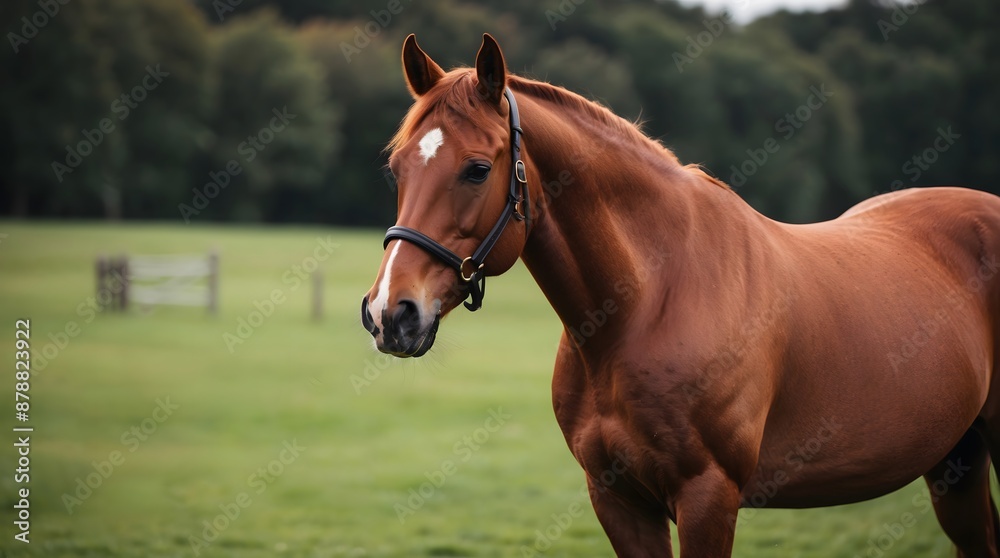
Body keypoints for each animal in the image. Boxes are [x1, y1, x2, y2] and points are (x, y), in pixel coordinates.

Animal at [361, 33, 1000, 557]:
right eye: (397, 167)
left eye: (475, 169)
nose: (391, 313)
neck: (649, 302)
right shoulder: (619, 500)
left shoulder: (708, 497)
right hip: (957, 461)